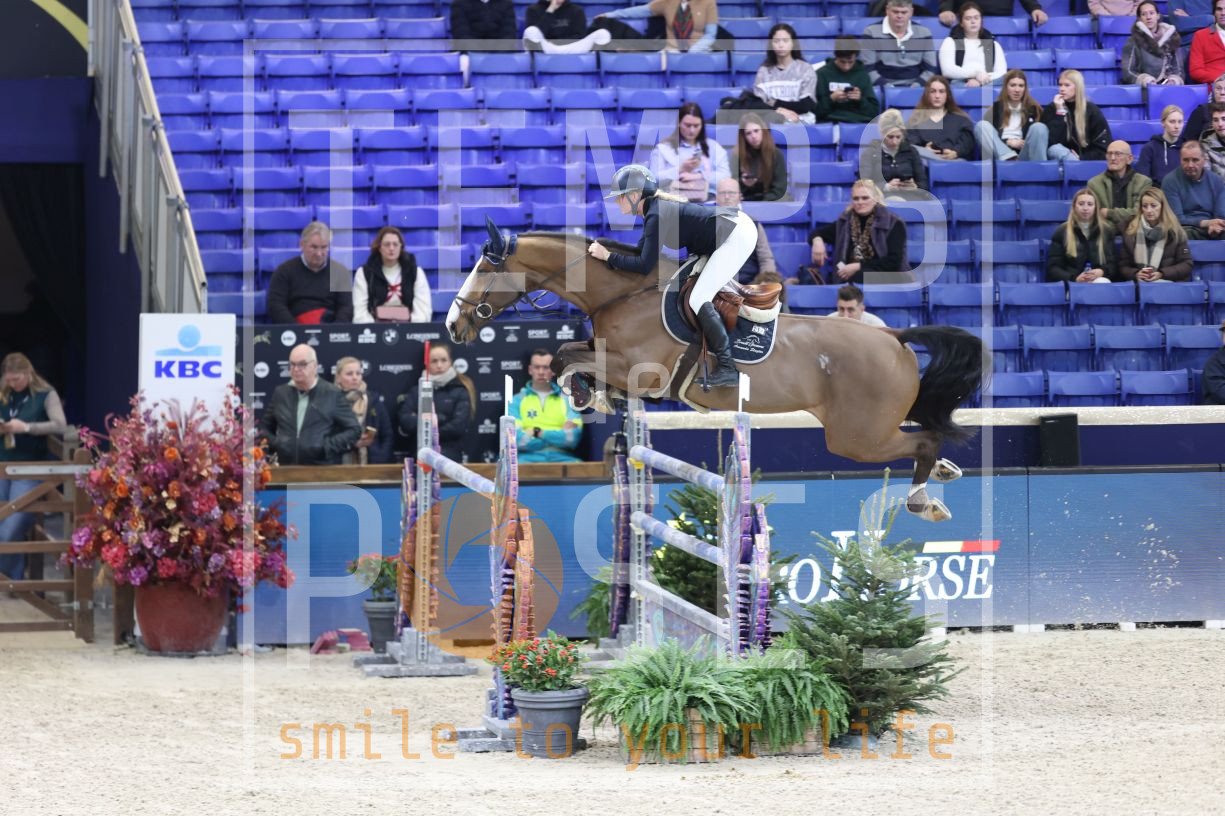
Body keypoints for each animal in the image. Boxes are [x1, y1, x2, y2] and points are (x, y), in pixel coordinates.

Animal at [446, 221, 988, 521]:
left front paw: (584, 393)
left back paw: (925, 499)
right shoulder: (612, 355)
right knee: (923, 436)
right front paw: (592, 394)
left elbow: (566, 358)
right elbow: (569, 354)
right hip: (866, 432)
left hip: (855, 438)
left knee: (921, 441)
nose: (453, 323)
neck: (622, 292)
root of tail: (895, 337)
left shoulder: (641, 370)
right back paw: (944, 472)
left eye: (484, 267)